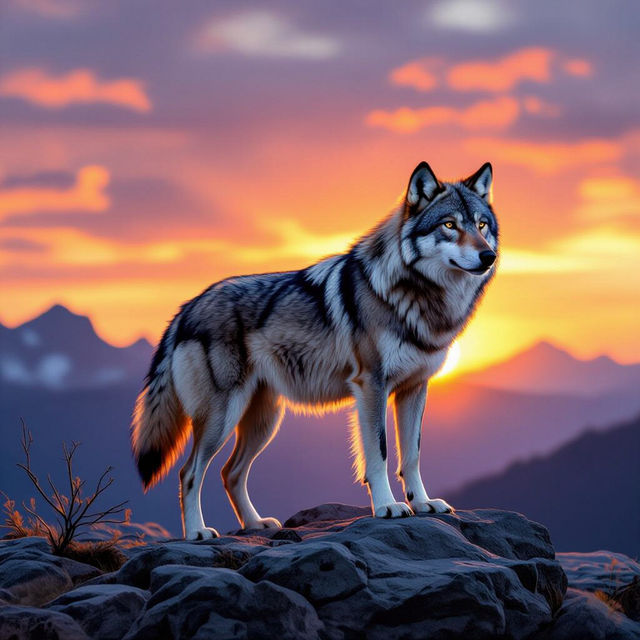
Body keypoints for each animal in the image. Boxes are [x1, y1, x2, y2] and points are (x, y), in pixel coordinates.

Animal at [131, 161, 498, 539]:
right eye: (450, 225)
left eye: (481, 225)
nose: (489, 255)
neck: (417, 295)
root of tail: (187, 306)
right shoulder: (372, 386)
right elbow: (379, 453)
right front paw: (388, 507)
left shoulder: (415, 388)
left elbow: (412, 455)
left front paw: (422, 503)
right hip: (223, 417)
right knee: (190, 472)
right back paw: (197, 533)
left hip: (264, 421)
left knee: (230, 473)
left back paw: (256, 524)